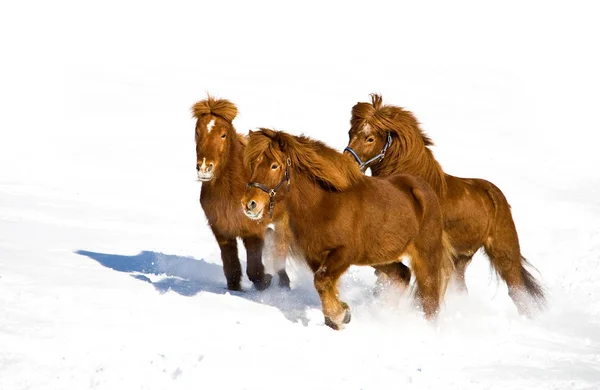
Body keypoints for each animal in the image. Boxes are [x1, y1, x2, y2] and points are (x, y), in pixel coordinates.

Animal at [190, 96, 288, 290]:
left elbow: (255, 271)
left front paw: (266, 283)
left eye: (223, 134)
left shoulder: (253, 231)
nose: (204, 168)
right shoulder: (222, 230)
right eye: (197, 132)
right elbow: (232, 268)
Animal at [241, 129, 452, 330]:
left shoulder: (344, 253)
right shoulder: (315, 256)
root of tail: (425, 189)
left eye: (274, 165)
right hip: (380, 258)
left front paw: (340, 315)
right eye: (253, 164)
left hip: (426, 257)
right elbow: (324, 284)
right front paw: (338, 317)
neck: (324, 204)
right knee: (402, 274)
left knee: (430, 300)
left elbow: (321, 280)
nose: (249, 204)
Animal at [344, 93, 548, 316]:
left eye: (370, 138)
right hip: (461, 259)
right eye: (350, 133)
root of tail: (495, 194)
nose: (347, 165)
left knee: (517, 291)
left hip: (504, 252)